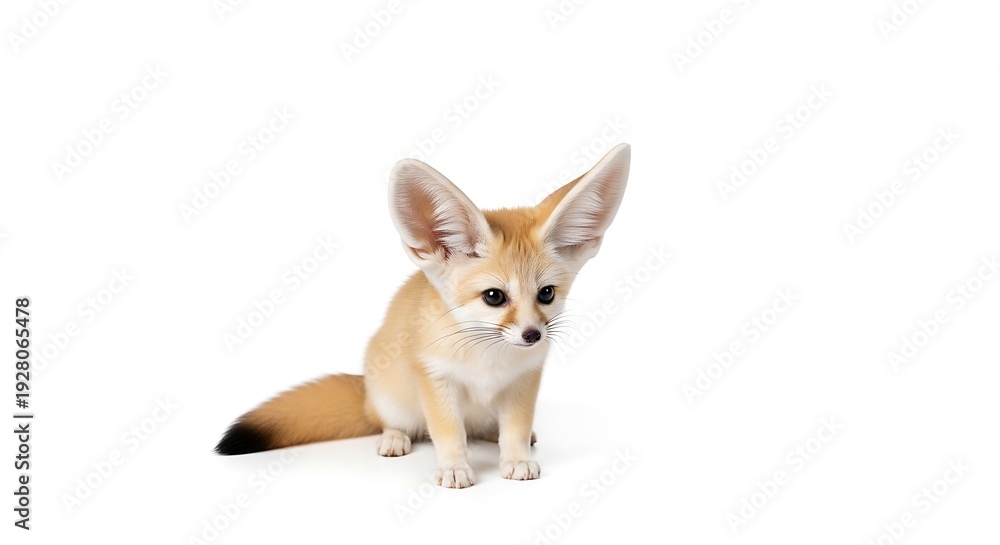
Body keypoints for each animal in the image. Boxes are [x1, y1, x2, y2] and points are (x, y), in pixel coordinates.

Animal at [215, 143, 631, 488]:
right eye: (494, 297)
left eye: (546, 294)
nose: (532, 336)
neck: (487, 359)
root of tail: (364, 391)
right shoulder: (435, 378)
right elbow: (448, 433)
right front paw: (454, 468)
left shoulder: (523, 381)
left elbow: (513, 429)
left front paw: (516, 459)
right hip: (391, 400)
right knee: (394, 423)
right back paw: (394, 437)